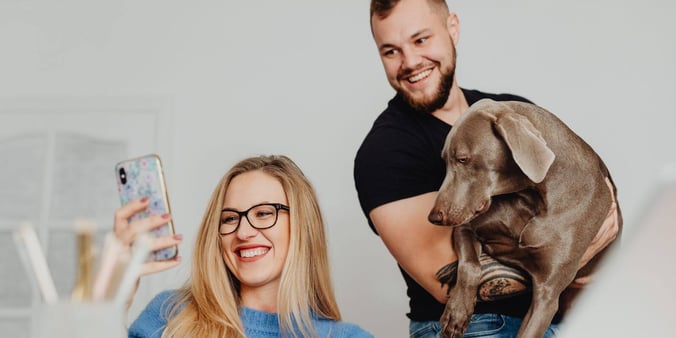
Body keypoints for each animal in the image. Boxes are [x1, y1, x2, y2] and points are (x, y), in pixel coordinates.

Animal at [428, 99, 624, 336]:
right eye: (445, 161)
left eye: (463, 159)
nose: (433, 217)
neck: (529, 198)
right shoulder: (465, 227)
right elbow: (470, 265)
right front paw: (457, 312)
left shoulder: (547, 292)